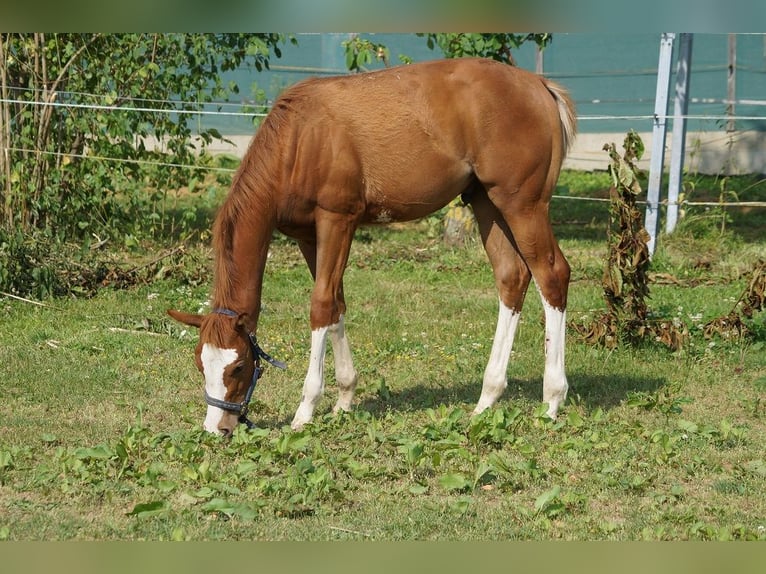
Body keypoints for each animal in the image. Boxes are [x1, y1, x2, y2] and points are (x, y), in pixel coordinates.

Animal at [168, 58, 576, 436]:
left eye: (238, 366)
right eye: (200, 364)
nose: (217, 428)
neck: (300, 139)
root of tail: (540, 86)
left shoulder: (337, 221)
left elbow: (321, 305)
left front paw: (306, 409)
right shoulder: (308, 236)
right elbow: (335, 304)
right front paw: (345, 399)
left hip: (522, 205)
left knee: (552, 274)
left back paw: (552, 401)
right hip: (486, 202)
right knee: (512, 277)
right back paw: (487, 399)